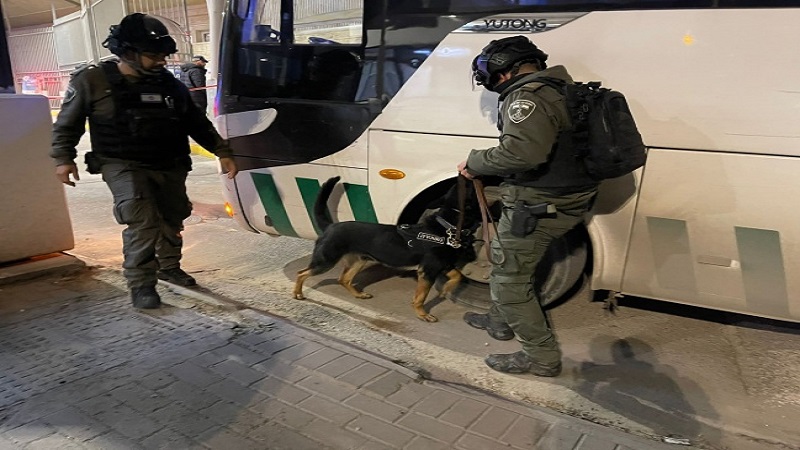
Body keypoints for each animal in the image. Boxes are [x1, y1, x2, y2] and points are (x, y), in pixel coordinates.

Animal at [293, 176, 479, 322]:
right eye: (467, 188)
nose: (466, 174)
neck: (448, 226)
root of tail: (329, 226)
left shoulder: (442, 265)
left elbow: (457, 276)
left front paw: (445, 290)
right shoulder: (428, 271)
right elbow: (421, 297)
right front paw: (422, 314)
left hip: (359, 261)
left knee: (344, 279)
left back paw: (359, 294)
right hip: (326, 261)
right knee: (302, 273)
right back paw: (297, 294)